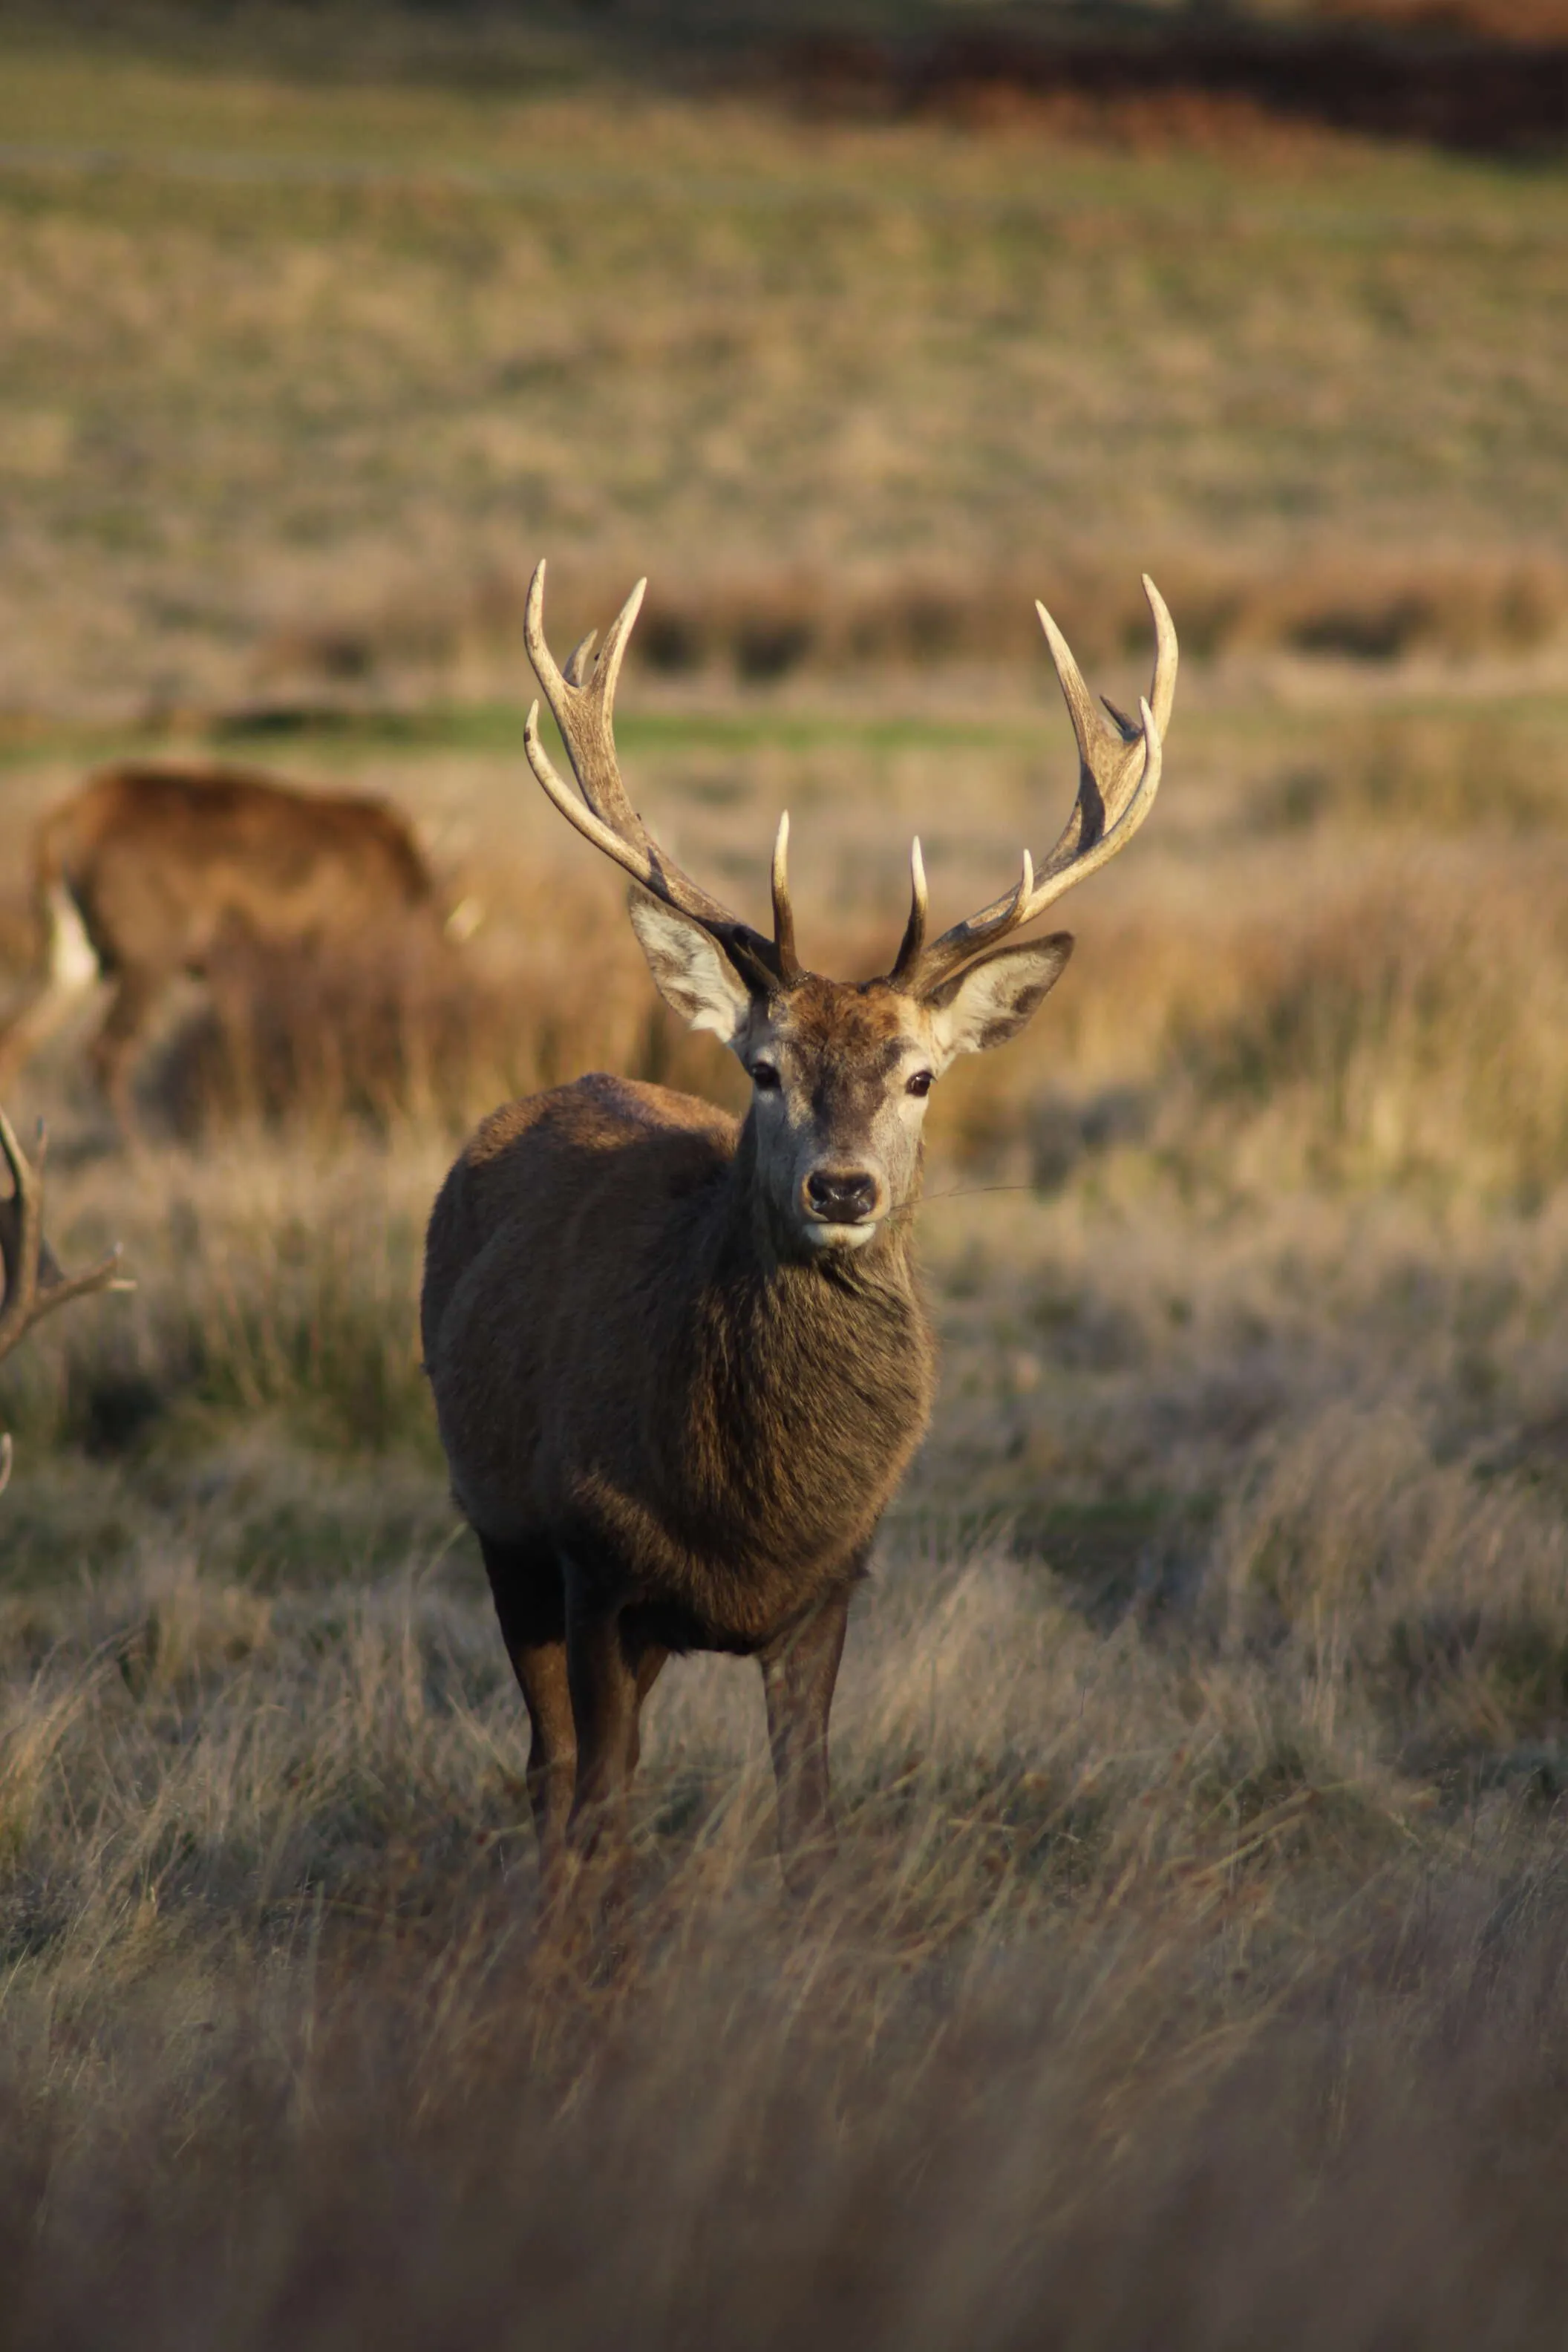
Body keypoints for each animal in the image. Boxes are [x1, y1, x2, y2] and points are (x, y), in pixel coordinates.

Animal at [0, 762, 478, 1134]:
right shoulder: (329, 948)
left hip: (72, 954)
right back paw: (134, 1149)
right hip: (149, 955)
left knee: (17, 1034)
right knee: (107, 1050)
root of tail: (59, 825)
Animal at [420, 559, 1176, 1895]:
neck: (748, 1516)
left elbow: (810, 1823)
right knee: (547, 1773)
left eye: (922, 1075)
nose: (841, 1190)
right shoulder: (590, 1558)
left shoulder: (830, 1587)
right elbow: (601, 1809)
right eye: (764, 1068)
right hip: (498, 1525)